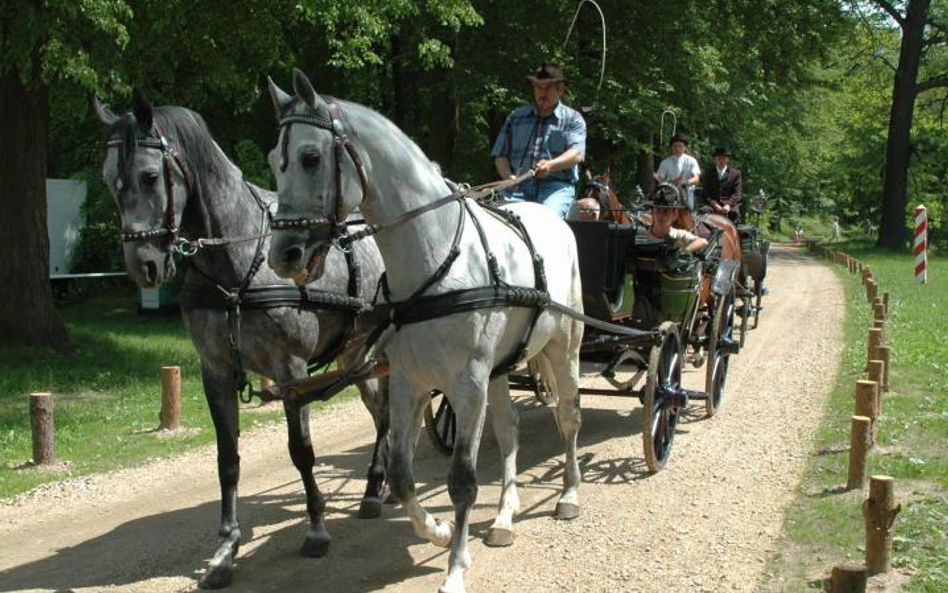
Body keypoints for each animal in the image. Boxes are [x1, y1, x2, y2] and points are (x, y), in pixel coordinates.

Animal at [95, 91, 388, 588]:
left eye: (150, 176)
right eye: (107, 178)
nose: (144, 267)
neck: (236, 262)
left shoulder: (290, 370)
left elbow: (301, 452)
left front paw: (316, 528)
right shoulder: (214, 371)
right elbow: (227, 460)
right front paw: (225, 550)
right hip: (354, 351)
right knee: (379, 408)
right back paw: (373, 487)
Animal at [266, 70, 584, 592]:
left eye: (311, 157)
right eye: (276, 161)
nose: (284, 255)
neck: (435, 257)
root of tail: (553, 221)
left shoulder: (468, 384)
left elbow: (462, 481)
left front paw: (454, 568)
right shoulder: (408, 380)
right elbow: (400, 472)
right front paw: (436, 531)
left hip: (563, 350)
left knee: (570, 419)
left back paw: (569, 495)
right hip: (501, 368)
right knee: (509, 431)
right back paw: (503, 517)